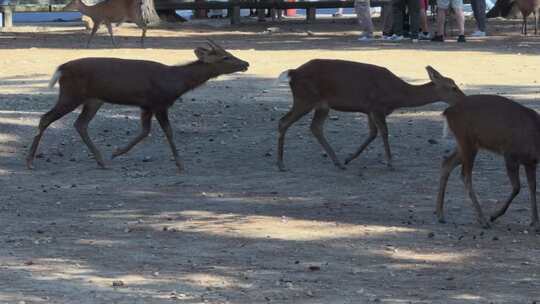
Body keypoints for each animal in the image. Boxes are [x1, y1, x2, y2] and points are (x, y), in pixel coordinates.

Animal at [26, 40, 250, 171]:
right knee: (46, 117)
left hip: (93, 99)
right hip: (71, 94)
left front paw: (116, 152)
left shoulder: (146, 106)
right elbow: (168, 132)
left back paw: (101, 160)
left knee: (80, 124)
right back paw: (29, 161)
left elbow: (144, 131)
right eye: (225, 57)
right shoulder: (159, 102)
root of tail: (61, 69)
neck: (175, 83)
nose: (246, 63)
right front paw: (180, 164)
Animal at [276, 60, 466, 172]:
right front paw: (390, 163)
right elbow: (384, 132)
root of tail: (293, 73)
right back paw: (281, 164)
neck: (398, 95)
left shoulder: (368, 110)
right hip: (305, 98)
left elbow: (372, 133)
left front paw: (349, 158)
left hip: (321, 105)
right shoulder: (377, 106)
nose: (464, 98)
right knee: (283, 121)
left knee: (315, 127)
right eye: (453, 87)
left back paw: (338, 162)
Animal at [434, 95, 540, 230]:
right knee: (465, 175)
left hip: (466, 144)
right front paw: (494, 215)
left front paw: (535, 221)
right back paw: (483, 220)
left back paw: (440, 215)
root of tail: (448, 112)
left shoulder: (530, 162)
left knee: (447, 163)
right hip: (466, 140)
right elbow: (517, 187)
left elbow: (532, 187)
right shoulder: (510, 155)